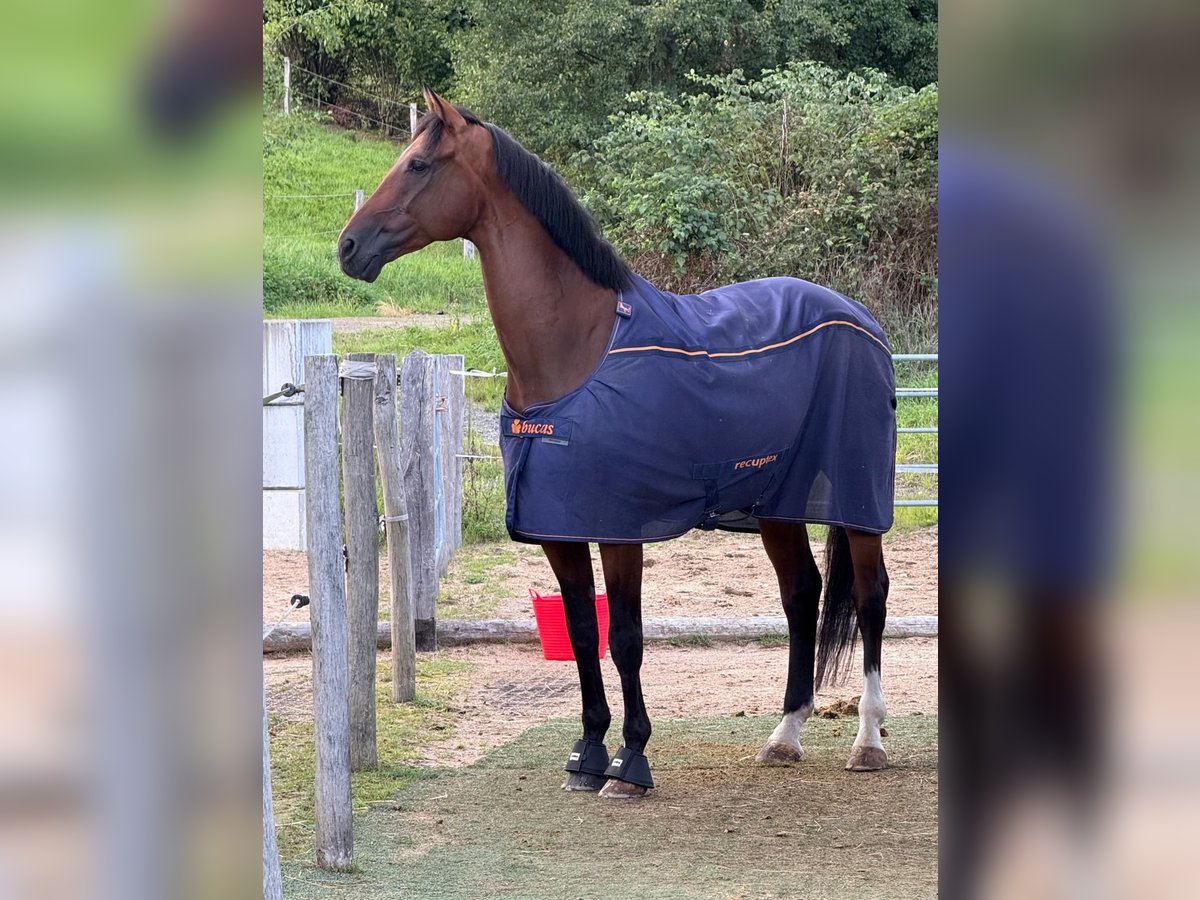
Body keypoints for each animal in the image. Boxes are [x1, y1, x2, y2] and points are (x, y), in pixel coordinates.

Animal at [338, 88, 895, 800]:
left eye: (418, 164)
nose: (348, 247)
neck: (574, 351)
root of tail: (863, 320)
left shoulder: (620, 528)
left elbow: (626, 636)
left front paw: (632, 760)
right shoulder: (560, 528)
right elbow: (583, 633)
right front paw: (588, 753)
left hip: (857, 503)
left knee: (871, 597)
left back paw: (868, 740)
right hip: (780, 504)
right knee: (801, 594)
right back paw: (785, 735)